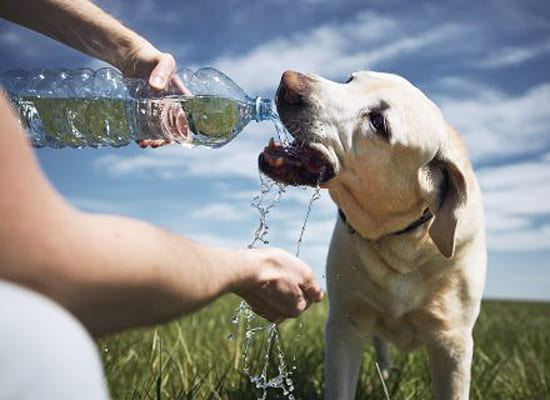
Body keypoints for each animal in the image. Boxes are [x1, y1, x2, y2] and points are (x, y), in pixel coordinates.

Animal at [258, 71, 488, 400]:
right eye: (349, 79)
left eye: (378, 122)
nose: (287, 82)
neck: (403, 245)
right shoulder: (345, 324)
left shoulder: (452, 342)